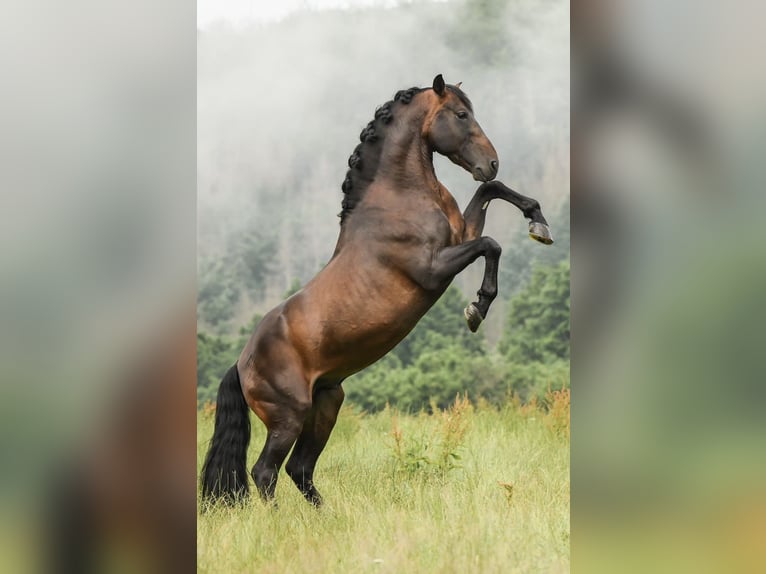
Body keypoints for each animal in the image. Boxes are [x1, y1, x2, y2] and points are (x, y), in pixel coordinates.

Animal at [202, 73, 552, 508]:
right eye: (461, 114)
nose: (491, 163)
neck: (398, 198)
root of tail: (241, 362)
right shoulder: (435, 267)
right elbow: (492, 244)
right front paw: (477, 309)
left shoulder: (461, 234)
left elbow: (492, 195)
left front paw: (539, 224)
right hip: (288, 415)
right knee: (265, 471)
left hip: (326, 404)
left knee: (300, 469)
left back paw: (326, 517)